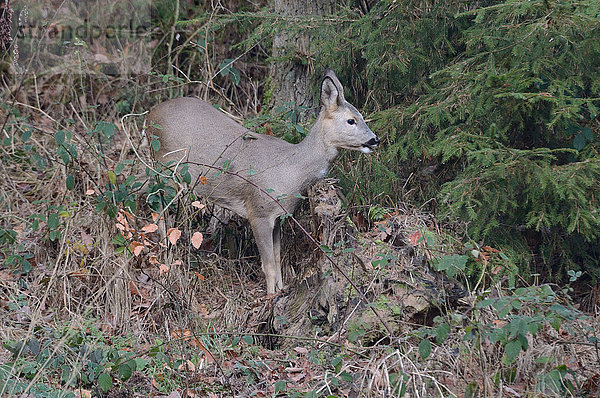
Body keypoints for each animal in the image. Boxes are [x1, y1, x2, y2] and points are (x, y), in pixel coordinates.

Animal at [147, 69, 378, 292]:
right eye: (351, 120)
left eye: (361, 116)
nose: (374, 139)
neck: (291, 170)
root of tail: (150, 114)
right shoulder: (258, 211)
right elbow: (268, 265)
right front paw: (270, 298)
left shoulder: (278, 217)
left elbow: (277, 259)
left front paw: (281, 290)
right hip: (166, 167)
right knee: (159, 208)